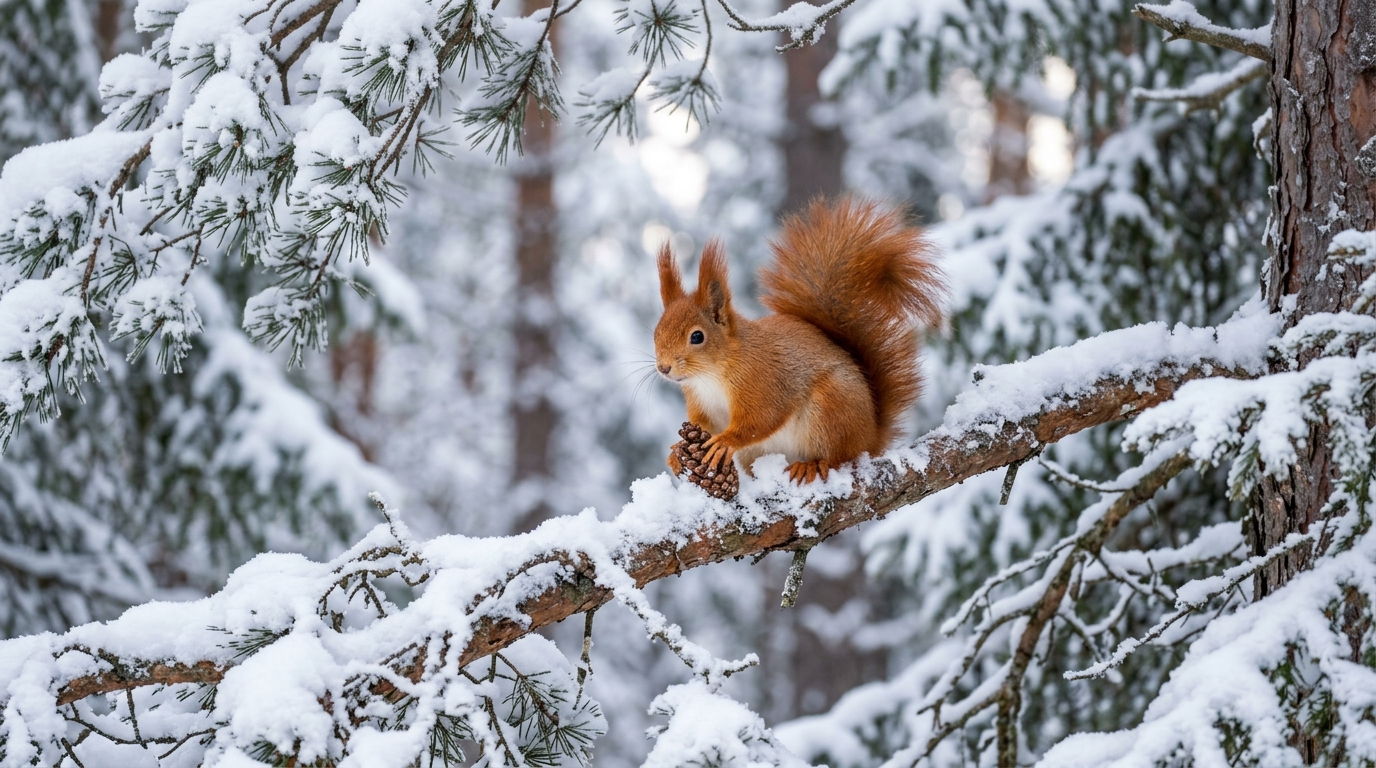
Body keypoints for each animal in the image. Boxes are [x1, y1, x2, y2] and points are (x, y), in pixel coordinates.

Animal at [653, 196, 946, 485]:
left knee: (839, 457)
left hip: (830, 410)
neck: (712, 374)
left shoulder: (763, 382)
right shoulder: (701, 402)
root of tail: (871, 438)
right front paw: (676, 452)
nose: (664, 368)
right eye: (656, 332)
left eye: (697, 336)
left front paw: (725, 441)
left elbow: (760, 420)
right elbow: (704, 425)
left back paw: (812, 465)